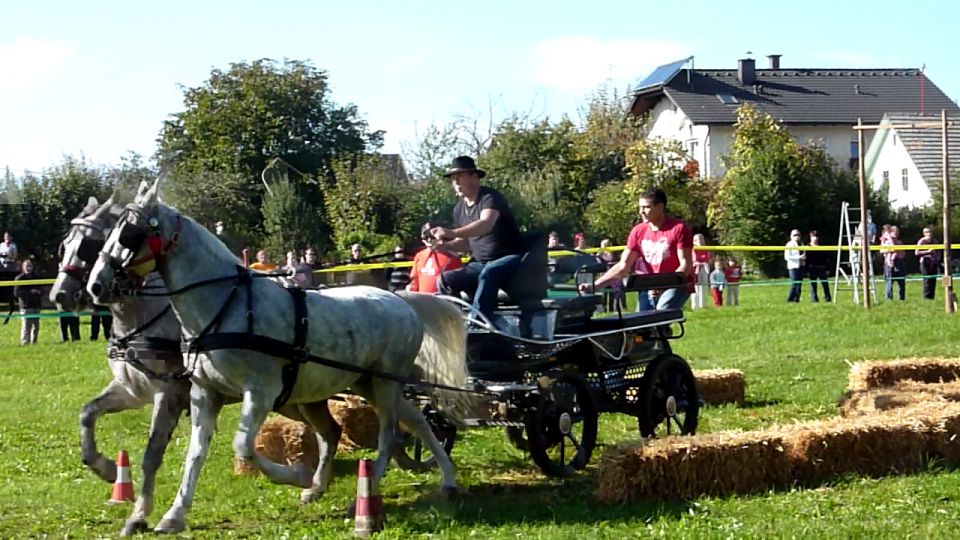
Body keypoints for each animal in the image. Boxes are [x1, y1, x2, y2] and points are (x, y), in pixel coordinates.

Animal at [53, 195, 342, 536]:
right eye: (64, 244)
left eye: (89, 245)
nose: (61, 294)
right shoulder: (133, 390)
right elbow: (88, 413)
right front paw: (107, 468)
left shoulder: (169, 392)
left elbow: (152, 455)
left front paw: (139, 515)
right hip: (298, 397)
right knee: (329, 431)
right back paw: (316, 483)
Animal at [88, 179, 470, 532]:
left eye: (127, 234)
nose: (96, 285)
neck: (226, 305)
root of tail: (400, 298)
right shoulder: (204, 392)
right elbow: (195, 453)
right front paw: (173, 515)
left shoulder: (260, 391)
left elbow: (243, 446)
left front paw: (296, 474)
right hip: (361, 384)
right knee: (404, 421)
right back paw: (444, 480)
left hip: (384, 382)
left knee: (389, 433)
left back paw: (368, 490)